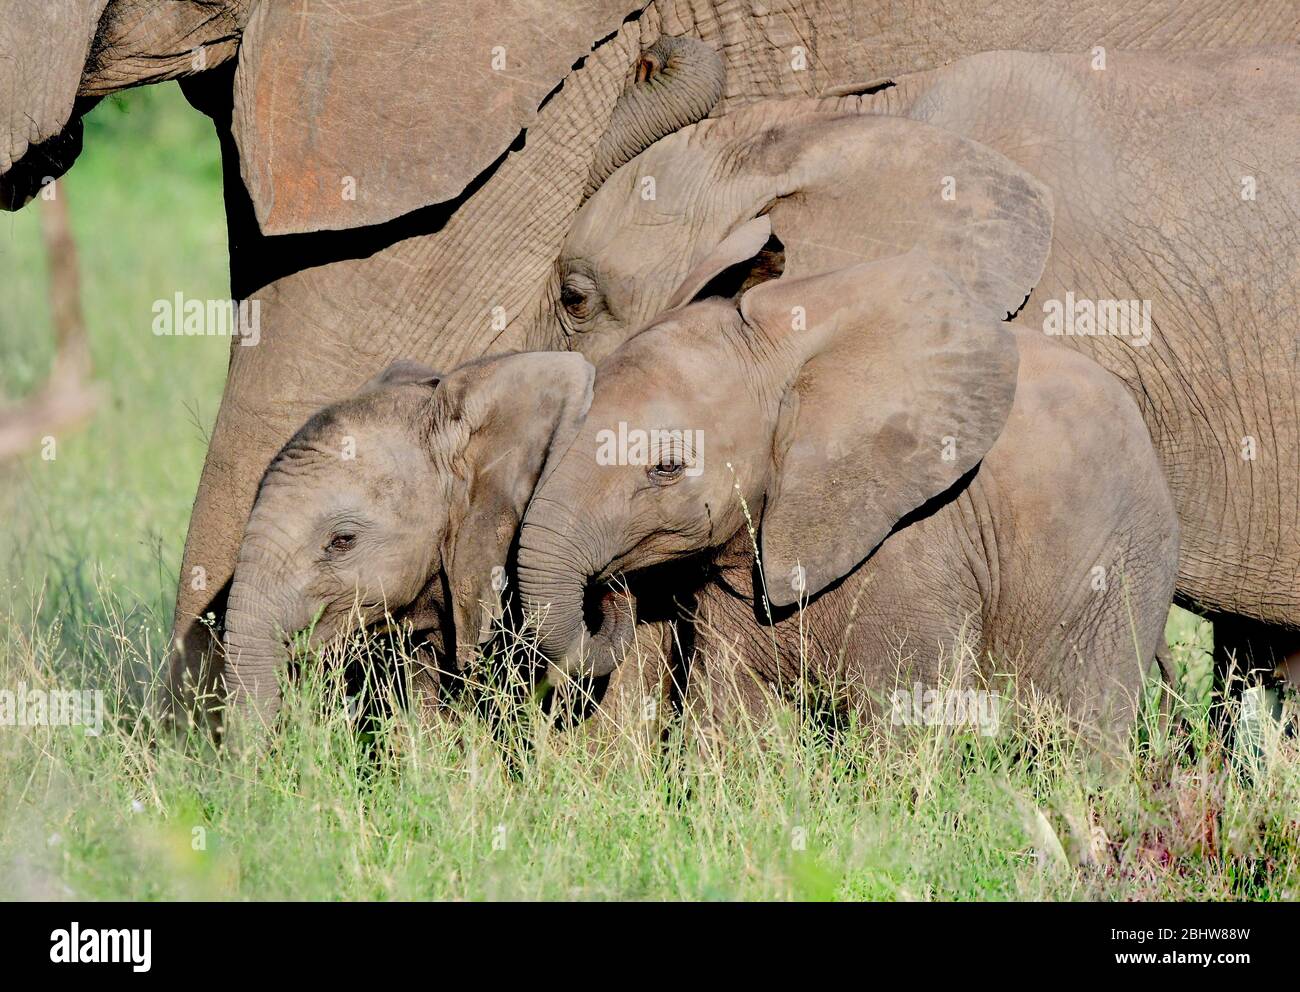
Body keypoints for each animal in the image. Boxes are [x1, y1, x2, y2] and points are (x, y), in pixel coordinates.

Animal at [514, 252, 1180, 743]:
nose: (610, 592)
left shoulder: (923, 540)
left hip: (1120, 568)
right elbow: (731, 716)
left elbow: (908, 718)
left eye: (667, 468)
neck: (778, 360)